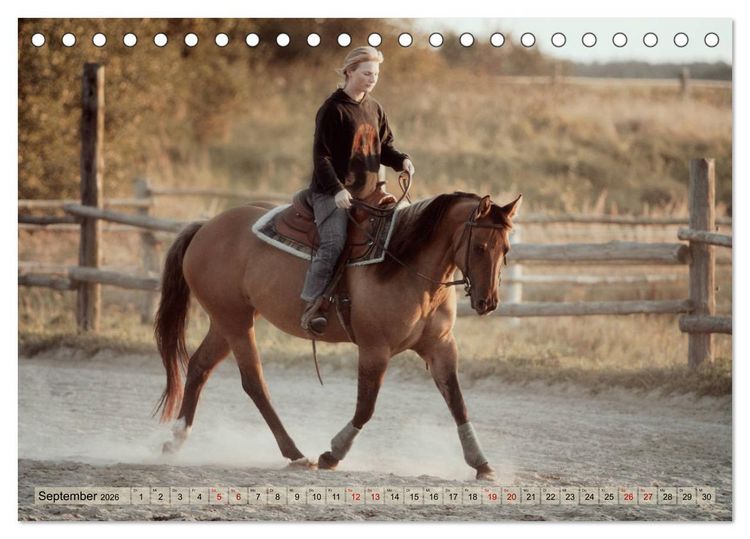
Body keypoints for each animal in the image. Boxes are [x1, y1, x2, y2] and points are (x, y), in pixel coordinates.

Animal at [154, 191, 522, 480]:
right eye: (479, 247)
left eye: (505, 249)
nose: (488, 302)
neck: (406, 266)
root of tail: (205, 228)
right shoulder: (375, 349)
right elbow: (366, 407)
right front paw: (332, 454)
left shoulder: (441, 346)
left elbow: (458, 403)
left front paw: (482, 464)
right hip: (235, 322)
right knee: (254, 382)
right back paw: (295, 453)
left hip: (228, 320)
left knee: (200, 367)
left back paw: (175, 441)